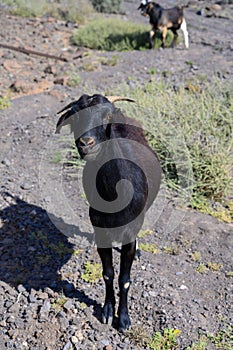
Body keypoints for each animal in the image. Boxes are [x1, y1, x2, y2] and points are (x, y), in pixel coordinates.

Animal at [56, 94, 162, 332]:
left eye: (106, 116)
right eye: (74, 115)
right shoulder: (100, 230)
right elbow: (108, 273)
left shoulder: (129, 233)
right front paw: (106, 310)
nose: (86, 143)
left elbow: (125, 278)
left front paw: (123, 319)